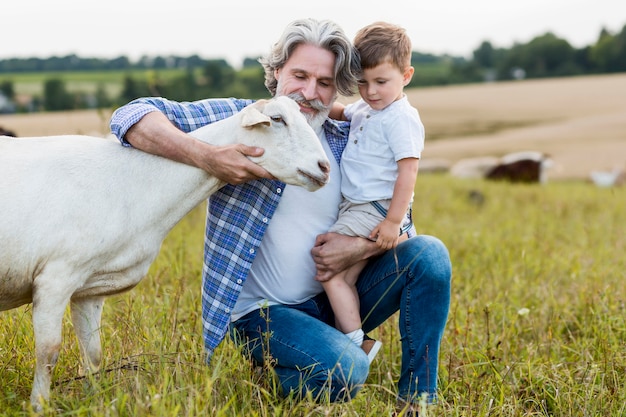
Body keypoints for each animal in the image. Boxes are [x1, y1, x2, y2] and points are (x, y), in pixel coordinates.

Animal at [0, 96, 332, 412]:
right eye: (277, 119)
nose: (324, 167)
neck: (135, 183)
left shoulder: (88, 288)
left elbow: (92, 354)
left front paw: (93, 401)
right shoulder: (55, 278)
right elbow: (48, 352)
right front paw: (39, 406)